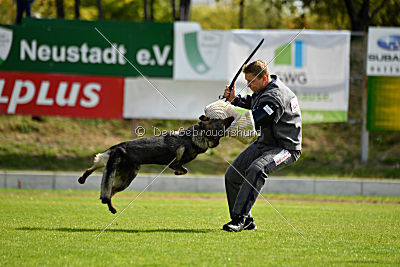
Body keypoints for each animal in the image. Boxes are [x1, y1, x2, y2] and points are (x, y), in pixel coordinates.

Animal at [77, 116, 234, 215]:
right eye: (221, 121)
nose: (232, 116)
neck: (200, 134)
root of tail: (119, 148)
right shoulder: (176, 163)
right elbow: (184, 169)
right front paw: (178, 172)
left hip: (107, 162)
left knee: (95, 172)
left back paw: (83, 179)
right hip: (125, 179)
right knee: (108, 192)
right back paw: (110, 207)